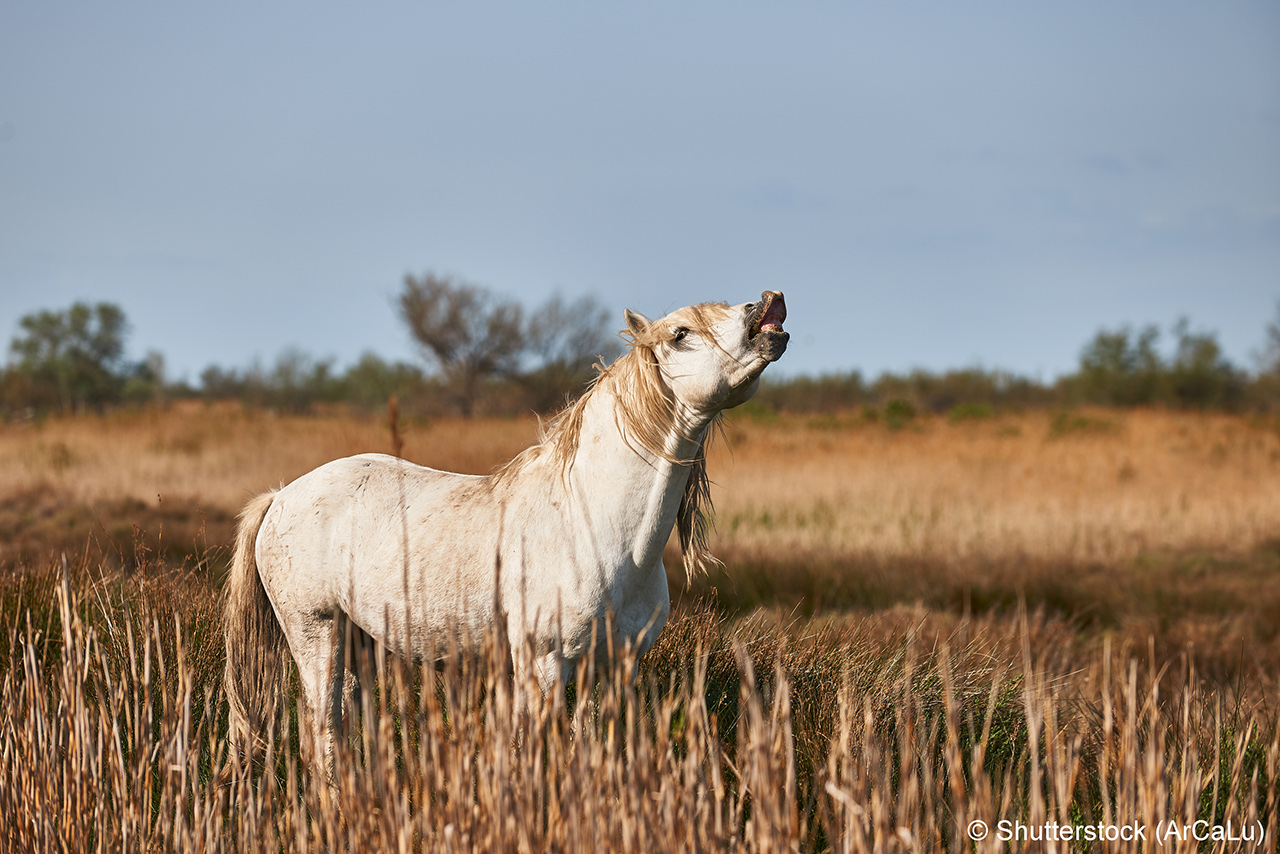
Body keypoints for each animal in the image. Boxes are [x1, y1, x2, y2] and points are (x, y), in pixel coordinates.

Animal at [227, 291, 788, 763]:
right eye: (680, 333)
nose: (768, 304)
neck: (593, 524)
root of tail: (281, 497)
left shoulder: (611, 668)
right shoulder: (544, 662)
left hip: (359, 638)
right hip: (315, 631)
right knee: (324, 725)